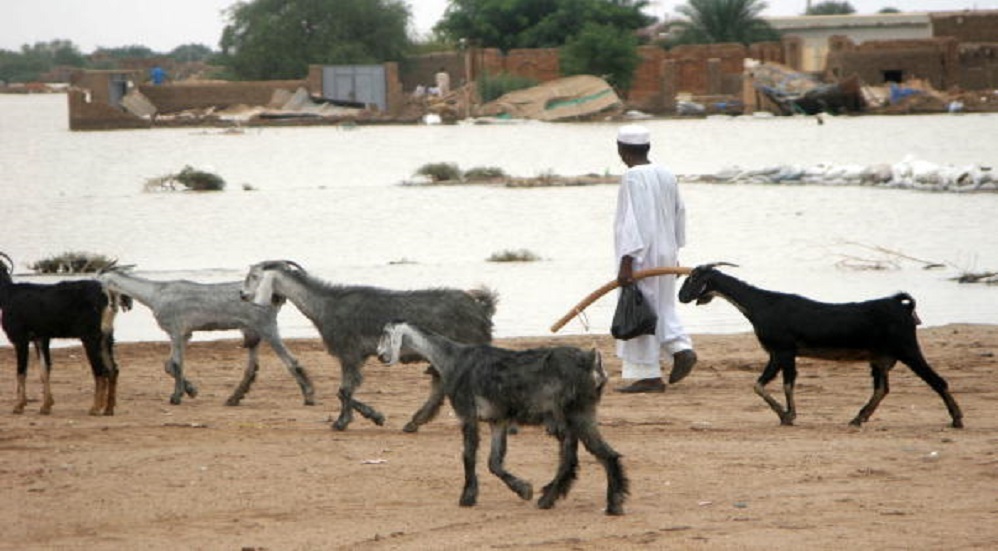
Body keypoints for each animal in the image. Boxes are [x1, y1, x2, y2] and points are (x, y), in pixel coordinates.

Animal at [0, 252, 119, 416]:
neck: (7, 294)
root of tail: (106, 295)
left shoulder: (20, 338)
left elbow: (21, 371)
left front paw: (18, 406)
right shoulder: (41, 338)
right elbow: (44, 369)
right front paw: (46, 406)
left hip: (91, 336)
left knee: (100, 371)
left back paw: (95, 408)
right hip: (106, 336)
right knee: (113, 369)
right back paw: (108, 409)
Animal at [100, 270, 312, 408]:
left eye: (99, 283)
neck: (155, 294)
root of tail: (276, 295)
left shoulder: (176, 331)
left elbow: (176, 364)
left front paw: (176, 397)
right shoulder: (184, 335)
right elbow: (169, 365)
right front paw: (190, 390)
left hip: (267, 327)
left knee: (291, 361)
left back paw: (309, 395)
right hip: (254, 332)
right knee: (252, 368)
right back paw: (235, 398)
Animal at [238, 260, 496, 434]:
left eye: (253, 275)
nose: (242, 295)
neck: (326, 305)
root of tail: (481, 308)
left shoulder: (349, 352)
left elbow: (344, 390)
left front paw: (349, 421)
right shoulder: (358, 356)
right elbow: (345, 390)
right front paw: (364, 417)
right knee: (439, 386)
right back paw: (415, 422)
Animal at [378, 322, 628, 516]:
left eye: (385, 334)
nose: (380, 356)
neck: (452, 358)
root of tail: (592, 359)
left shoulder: (467, 415)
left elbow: (469, 456)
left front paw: (468, 497)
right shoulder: (497, 421)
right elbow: (494, 462)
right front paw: (524, 489)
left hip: (577, 415)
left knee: (605, 455)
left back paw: (613, 505)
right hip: (569, 420)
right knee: (571, 460)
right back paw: (547, 499)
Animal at [676, 264, 964, 432]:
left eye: (691, 278)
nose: (681, 297)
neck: (760, 304)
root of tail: (903, 306)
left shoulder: (783, 350)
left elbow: (778, 384)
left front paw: (788, 415)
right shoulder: (780, 353)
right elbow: (769, 384)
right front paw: (786, 415)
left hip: (907, 348)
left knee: (937, 381)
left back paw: (957, 418)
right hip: (880, 356)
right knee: (882, 388)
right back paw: (858, 418)